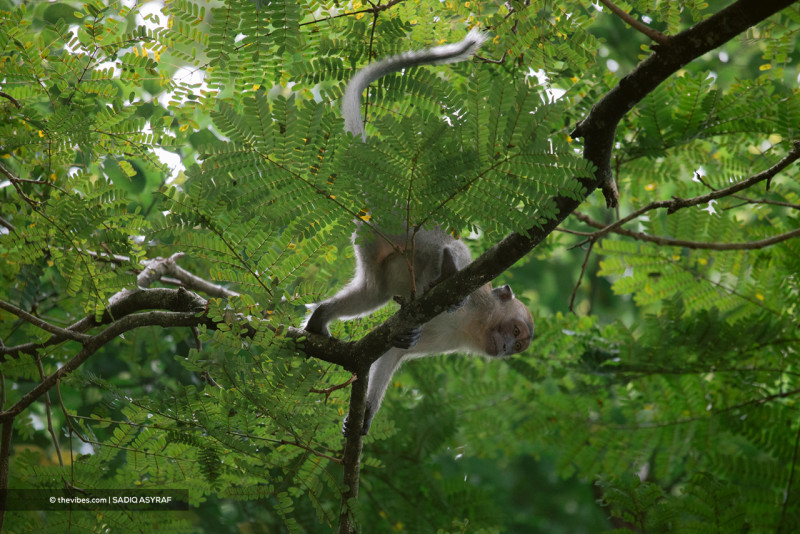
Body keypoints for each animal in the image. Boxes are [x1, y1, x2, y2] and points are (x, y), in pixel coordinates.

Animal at [305, 29, 534, 435]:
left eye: (518, 344)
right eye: (517, 333)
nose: (507, 349)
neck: (476, 323)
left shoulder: (446, 343)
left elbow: (394, 356)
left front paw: (365, 415)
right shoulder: (480, 297)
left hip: (370, 239)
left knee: (374, 292)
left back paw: (320, 320)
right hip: (406, 223)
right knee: (443, 248)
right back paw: (442, 276)